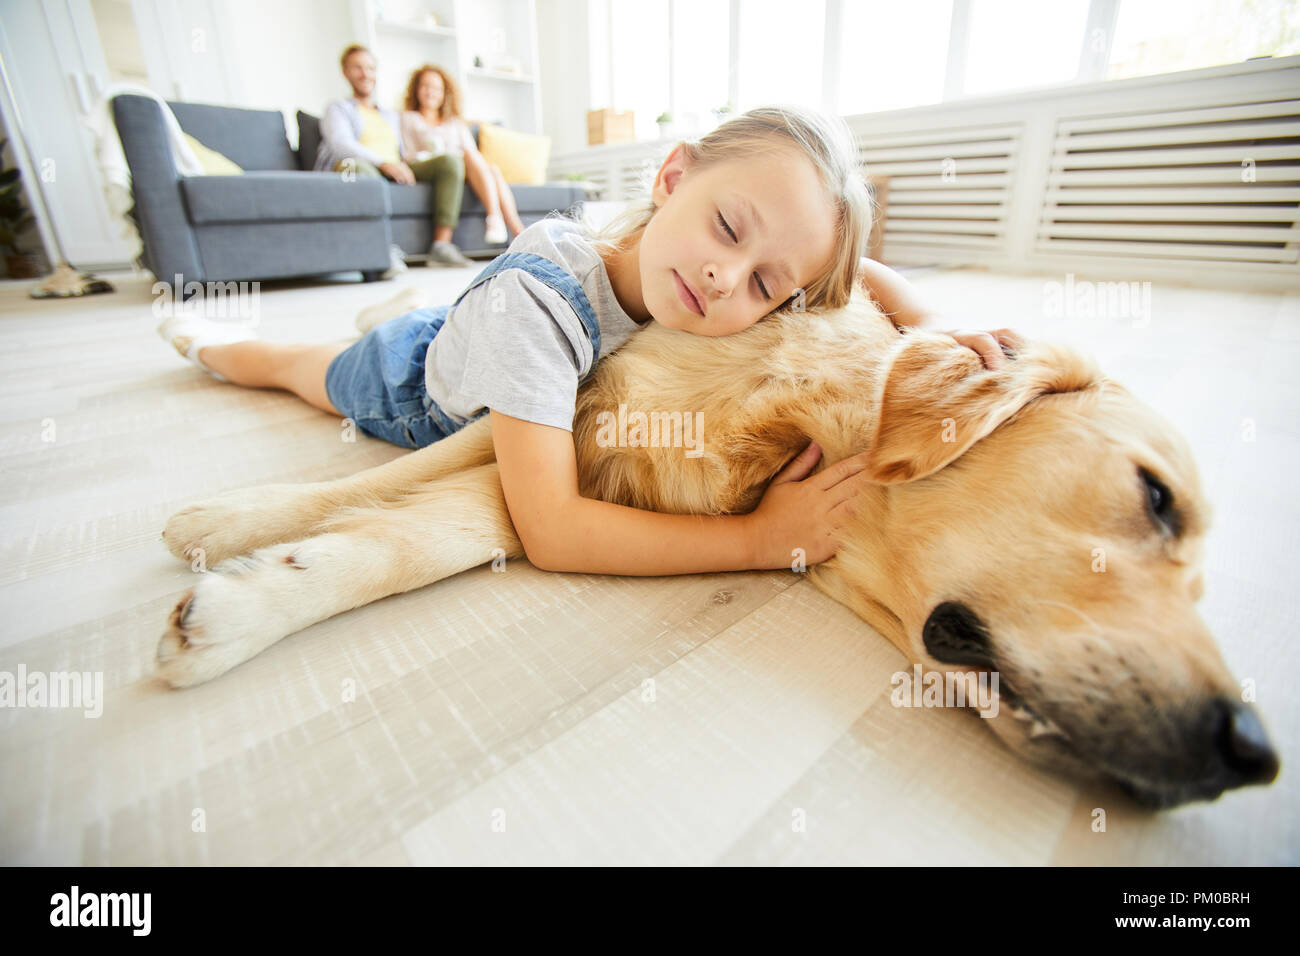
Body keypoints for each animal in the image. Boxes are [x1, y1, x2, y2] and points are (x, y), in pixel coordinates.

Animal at [154, 290, 1279, 806]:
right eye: (1156, 498)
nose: (1254, 750)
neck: (792, 423)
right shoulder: (564, 405)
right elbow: (371, 488)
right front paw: (228, 527)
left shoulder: (577, 480)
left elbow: (436, 529)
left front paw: (255, 593)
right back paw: (198, 332)